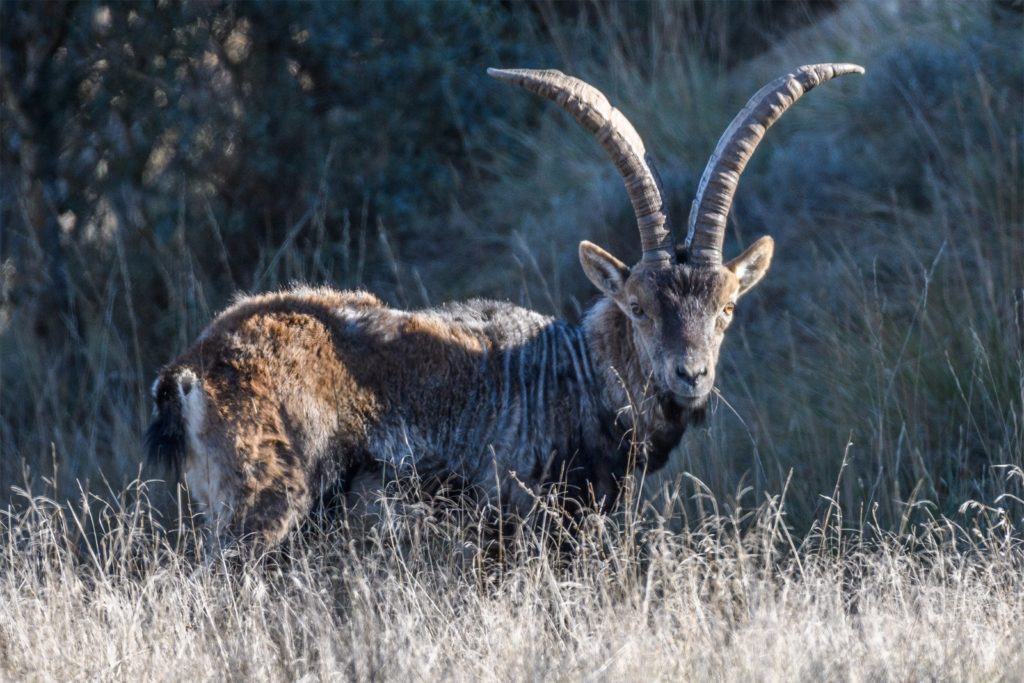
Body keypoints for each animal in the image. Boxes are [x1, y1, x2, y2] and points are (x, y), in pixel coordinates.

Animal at [144, 61, 864, 548]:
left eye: (726, 308)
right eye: (637, 307)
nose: (691, 375)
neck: (572, 378)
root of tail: (190, 369)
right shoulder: (523, 518)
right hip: (262, 504)